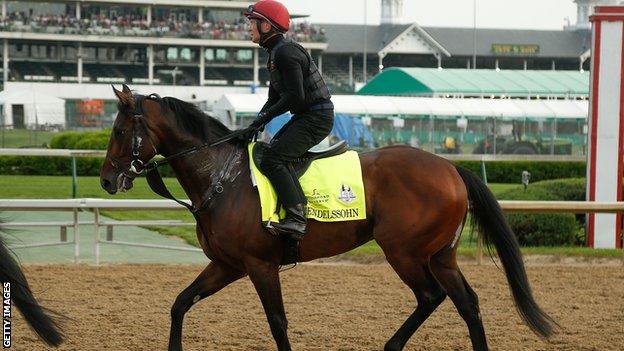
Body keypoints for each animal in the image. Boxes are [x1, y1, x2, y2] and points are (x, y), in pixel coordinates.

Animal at [101, 86, 556, 351]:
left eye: (120, 131)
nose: (107, 179)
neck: (222, 177)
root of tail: (451, 167)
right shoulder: (227, 265)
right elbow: (180, 303)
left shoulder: (259, 265)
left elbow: (278, 323)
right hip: (440, 255)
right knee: (468, 303)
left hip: (404, 252)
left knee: (431, 296)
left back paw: (391, 346)